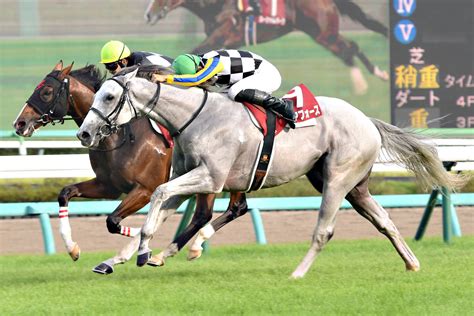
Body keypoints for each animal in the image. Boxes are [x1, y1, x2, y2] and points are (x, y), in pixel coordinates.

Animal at [13, 61, 248, 274]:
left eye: (46, 92)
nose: (19, 124)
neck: (119, 137)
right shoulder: (108, 186)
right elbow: (66, 193)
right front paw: (73, 249)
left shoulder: (144, 189)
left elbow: (113, 221)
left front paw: (140, 240)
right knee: (234, 208)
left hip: (211, 176)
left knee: (207, 214)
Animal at [77, 69, 462, 278]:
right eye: (96, 94)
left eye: (109, 96)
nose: (84, 133)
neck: (194, 118)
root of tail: (368, 120)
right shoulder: (189, 180)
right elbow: (158, 211)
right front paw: (131, 255)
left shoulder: (210, 177)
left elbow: (159, 199)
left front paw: (145, 253)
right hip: (353, 185)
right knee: (385, 222)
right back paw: (412, 263)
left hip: (338, 180)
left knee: (324, 231)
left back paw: (298, 273)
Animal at [144, 0, 388, 94]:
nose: (148, 15)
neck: (216, 5)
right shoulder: (228, 41)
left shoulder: (223, 33)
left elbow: (196, 53)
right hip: (324, 33)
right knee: (349, 48)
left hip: (323, 32)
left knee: (349, 49)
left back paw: (370, 80)